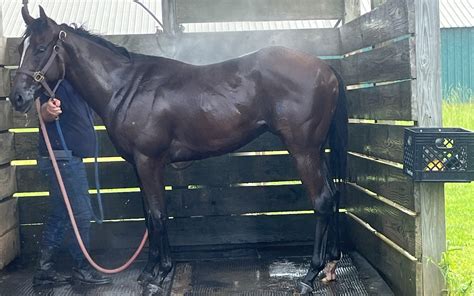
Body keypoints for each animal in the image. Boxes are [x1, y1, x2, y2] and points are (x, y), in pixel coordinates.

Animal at [10, 5, 348, 294]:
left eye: (41, 48)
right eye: (20, 48)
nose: (17, 97)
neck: (126, 86)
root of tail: (325, 67)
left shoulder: (149, 162)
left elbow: (159, 215)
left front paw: (160, 275)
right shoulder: (139, 164)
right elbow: (149, 215)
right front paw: (150, 270)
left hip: (303, 151)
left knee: (321, 201)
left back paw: (309, 275)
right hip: (317, 150)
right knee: (332, 195)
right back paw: (331, 264)